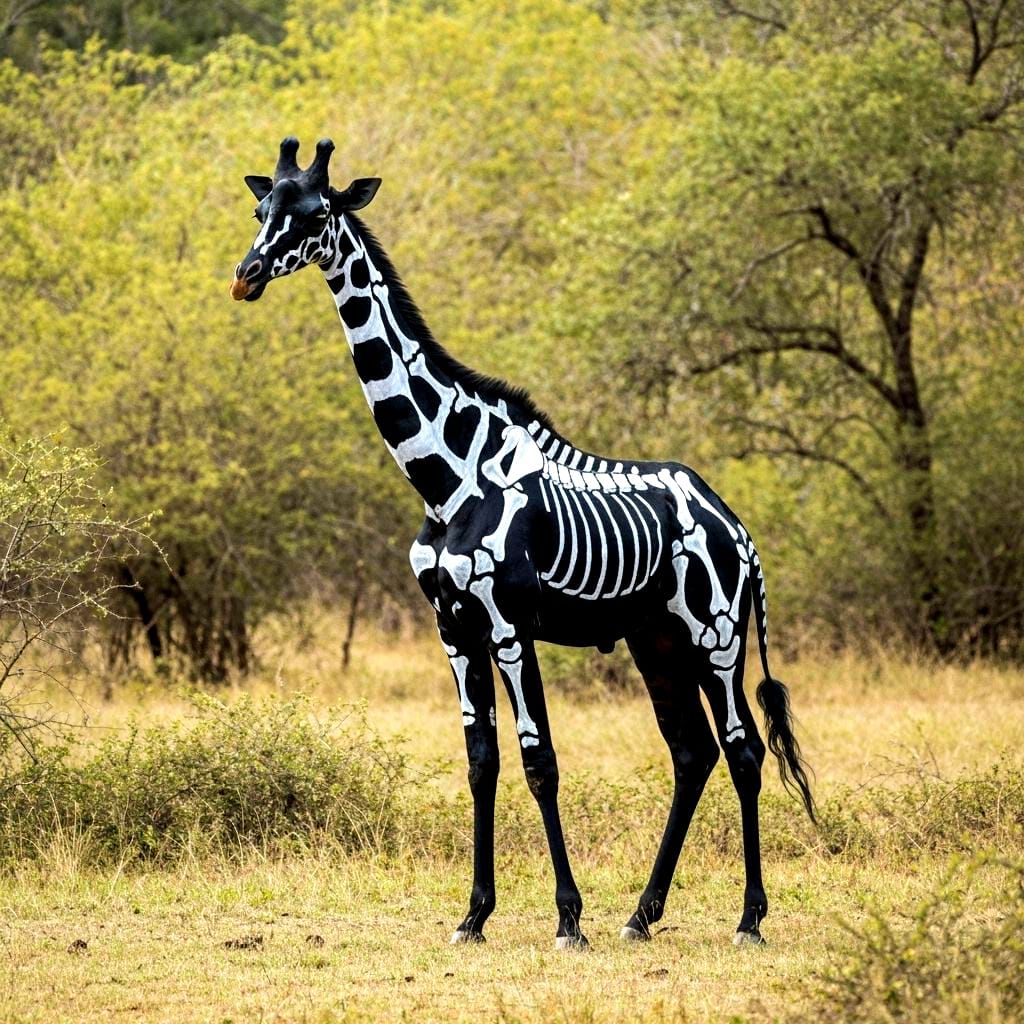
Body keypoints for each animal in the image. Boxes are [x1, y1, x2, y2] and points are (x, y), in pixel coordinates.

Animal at [231, 137, 816, 950]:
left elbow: (541, 761)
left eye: (315, 213)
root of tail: (739, 528)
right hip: (658, 640)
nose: (246, 275)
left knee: (744, 749)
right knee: (692, 752)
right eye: (261, 209)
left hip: (718, 633)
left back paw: (750, 919)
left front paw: (568, 918)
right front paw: (474, 915)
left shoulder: (510, 627)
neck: (444, 478)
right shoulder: (451, 629)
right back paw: (641, 915)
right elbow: (482, 763)